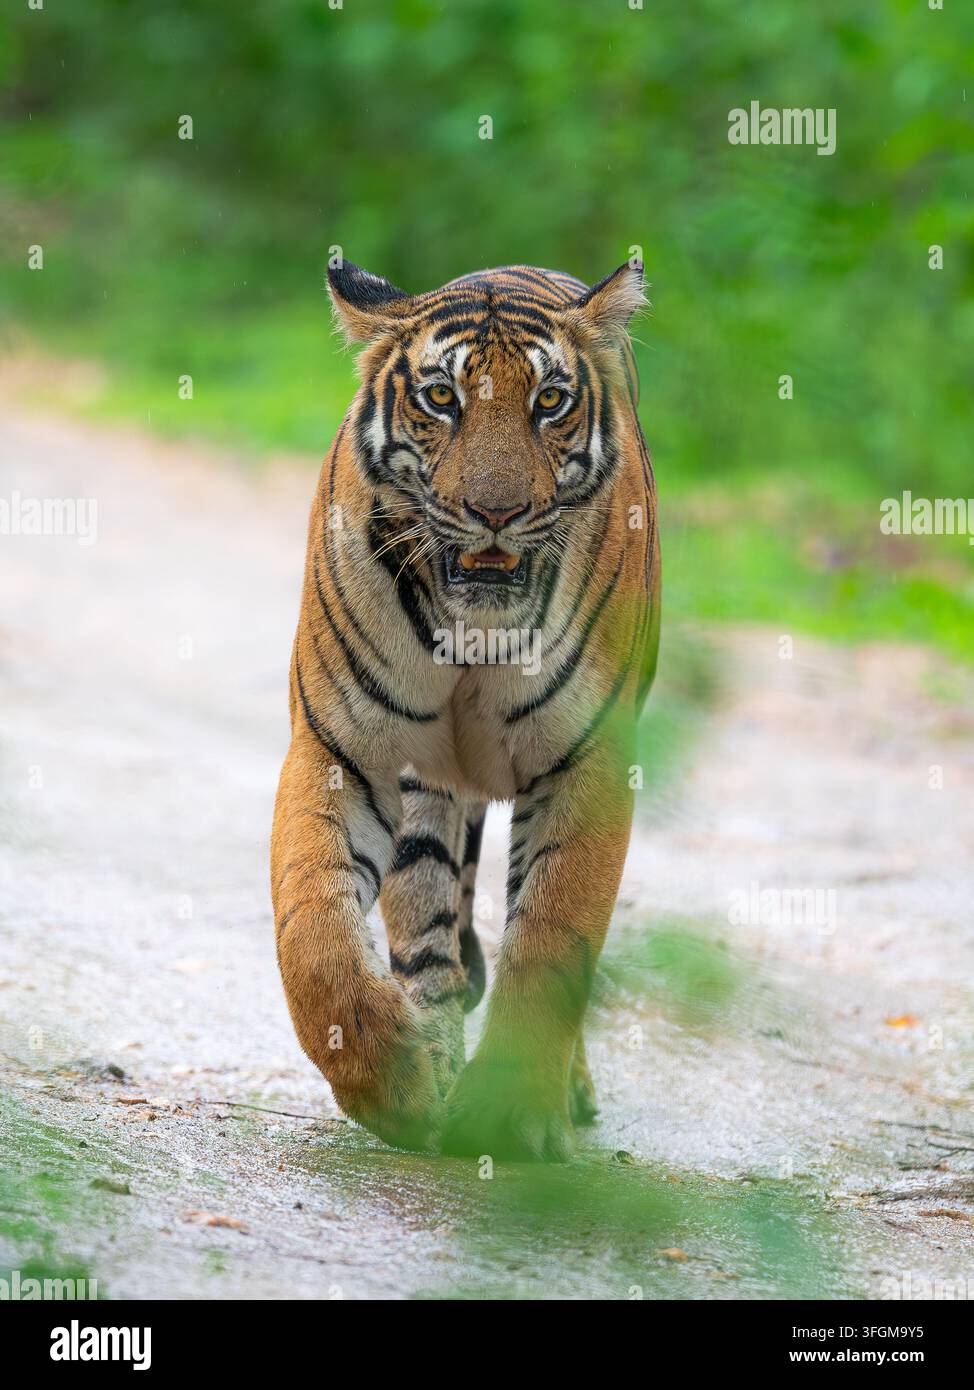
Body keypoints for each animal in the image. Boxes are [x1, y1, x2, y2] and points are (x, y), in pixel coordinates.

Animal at [270, 259, 660, 1161]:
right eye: (443, 398)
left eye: (549, 401)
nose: (496, 513)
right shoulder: (342, 751)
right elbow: (314, 936)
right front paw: (394, 1081)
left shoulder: (589, 763)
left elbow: (554, 936)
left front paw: (514, 1115)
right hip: (426, 788)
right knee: (427, 926)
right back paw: (432, 1060)